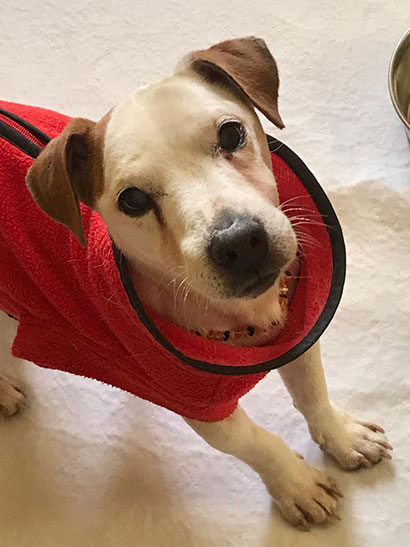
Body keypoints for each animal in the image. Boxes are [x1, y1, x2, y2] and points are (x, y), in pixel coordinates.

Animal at [0, 37, 392, 529]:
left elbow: (313, 394)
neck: (245, 318)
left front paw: (342, 437)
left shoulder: (300, 335)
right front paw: (296, 485)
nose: (239, 241)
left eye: (231, 134)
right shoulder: (202, 409)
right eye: (133, 200)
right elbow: (257, 443)